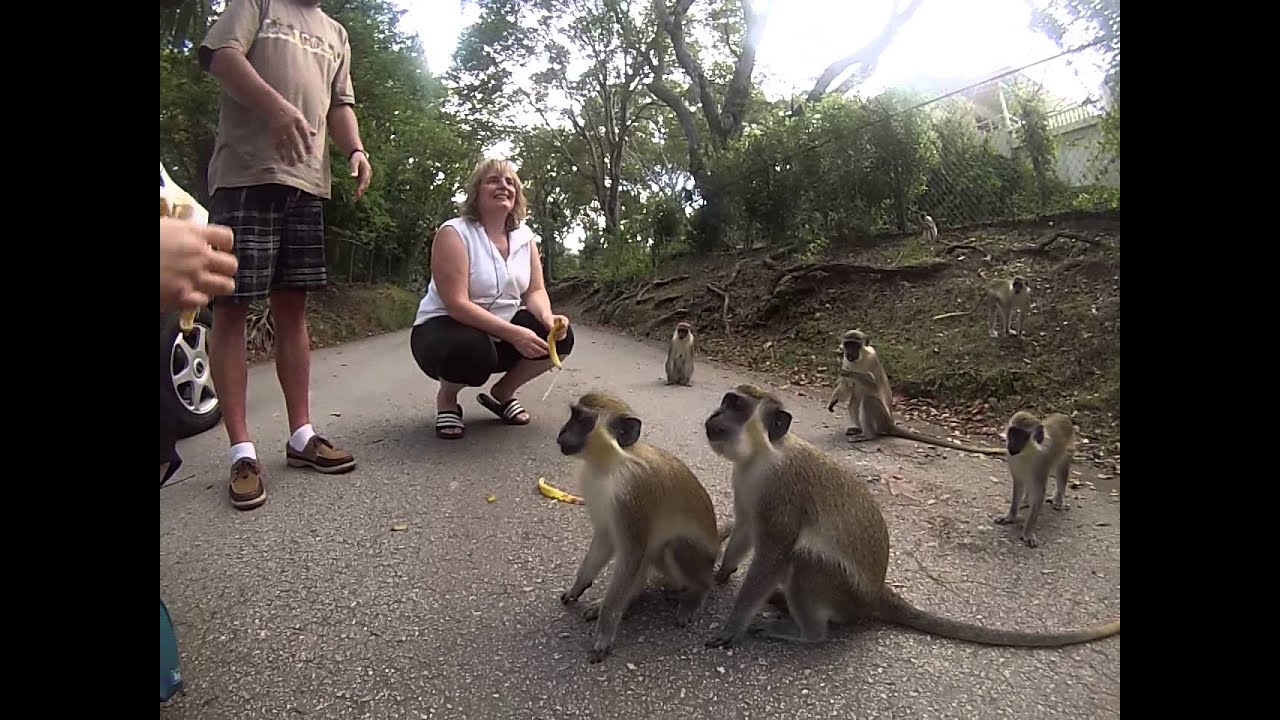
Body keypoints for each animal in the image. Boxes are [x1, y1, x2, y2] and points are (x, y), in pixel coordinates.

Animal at [555, 391, 723, 663]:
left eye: (582, 419)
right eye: (573, 415)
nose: (563, 431)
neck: (610, 465)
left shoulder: (631, 495)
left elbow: (631, 552)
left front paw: (605, 633)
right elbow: (605, 539)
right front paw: (578, 586)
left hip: (700, 560)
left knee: (675, 547)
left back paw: (696, 593)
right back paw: (632, 598)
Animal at [995, 410, 1075, 548]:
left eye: (1021, 436)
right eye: (1012, 433)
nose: (1012, 443)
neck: (1028, 452)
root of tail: (1064, 416)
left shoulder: (1041, 463)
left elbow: (1039, 492)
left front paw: (1028, 532)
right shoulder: (1012, 459)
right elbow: (1018, 484)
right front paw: (1011, 516)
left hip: (1068, 448)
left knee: (1062, 470)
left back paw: (1059, 499)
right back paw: (1026, 500)